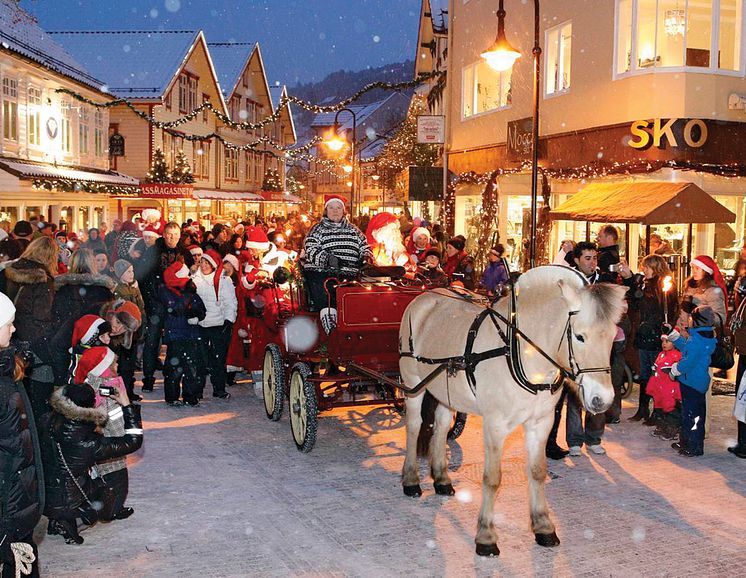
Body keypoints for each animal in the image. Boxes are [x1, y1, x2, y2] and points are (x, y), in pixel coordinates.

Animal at [398, 264, 624, 552]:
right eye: (579, 336)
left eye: (612, 337)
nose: (602, 399)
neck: (520, 352)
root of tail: (424, 297)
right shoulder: (494, 424)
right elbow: (492, 478)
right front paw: (485, 536)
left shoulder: (541, 422)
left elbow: (538, 472)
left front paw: (543, 526)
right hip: (412, 383)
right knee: (415, 427)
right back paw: (411, 480)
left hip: (447, 391)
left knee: (439, 428)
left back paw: (442, 479)